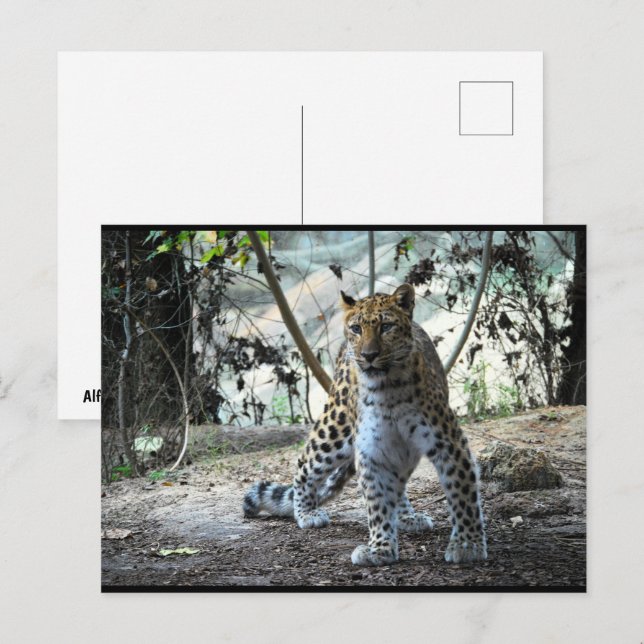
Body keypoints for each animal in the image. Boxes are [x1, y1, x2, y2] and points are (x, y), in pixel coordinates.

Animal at [243, 283, 487, 567]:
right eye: (357, 328)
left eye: (386, 327)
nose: (369, 355)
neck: (388, 389)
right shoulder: (373, 451)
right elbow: (377, 502)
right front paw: (380, 548)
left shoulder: (447, 442)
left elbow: (462, 493)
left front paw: (467, 544)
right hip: (336, 427)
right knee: (305, 463)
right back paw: (306, 513)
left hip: (401, 449)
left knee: (399, 484)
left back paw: (407, 517)